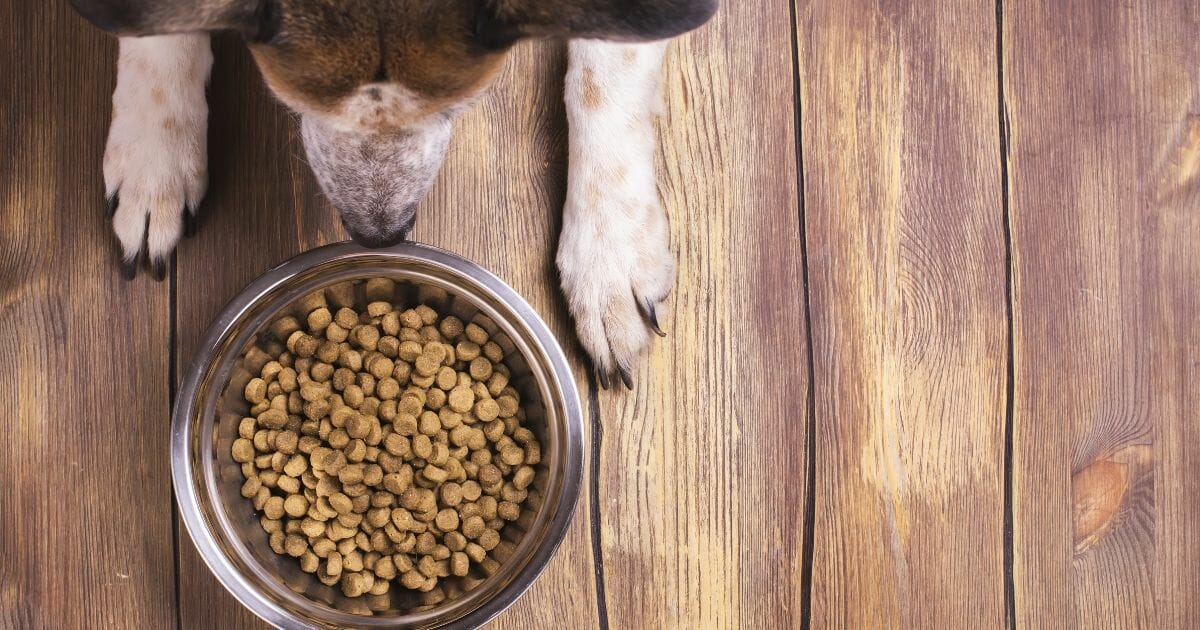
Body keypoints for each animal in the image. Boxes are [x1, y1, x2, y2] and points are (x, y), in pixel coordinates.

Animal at [70, 0, 715, 388]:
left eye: (458, 108)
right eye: (291, 103)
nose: (380, 234)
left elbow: (606, 68)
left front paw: (609, 256)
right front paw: (154, 155)